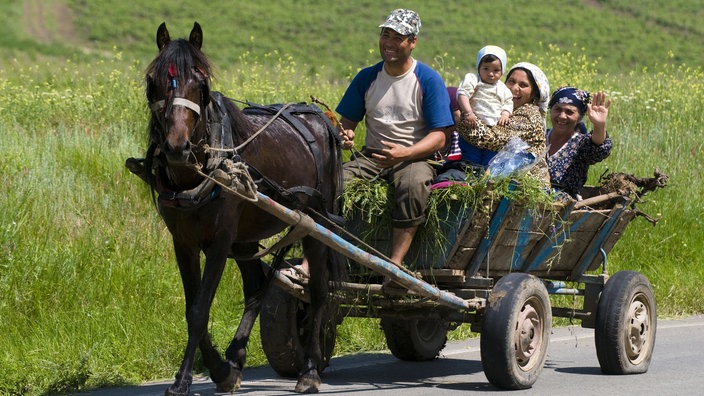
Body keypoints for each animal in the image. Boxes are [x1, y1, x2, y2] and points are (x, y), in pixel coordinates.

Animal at [129, 22, 346, 396]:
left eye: (200, 84)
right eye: (152, 81)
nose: (176, 148)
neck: (197, 174)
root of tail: (319, 116)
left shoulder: (220, 240)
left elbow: (200, 309)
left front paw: (185, 379)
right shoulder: (183, 243)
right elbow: (191, 307)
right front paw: (221, 370)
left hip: (317, 225)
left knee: (319, 292)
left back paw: (309, 370)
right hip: (246, 239)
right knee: (257, 289)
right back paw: (236, 356)